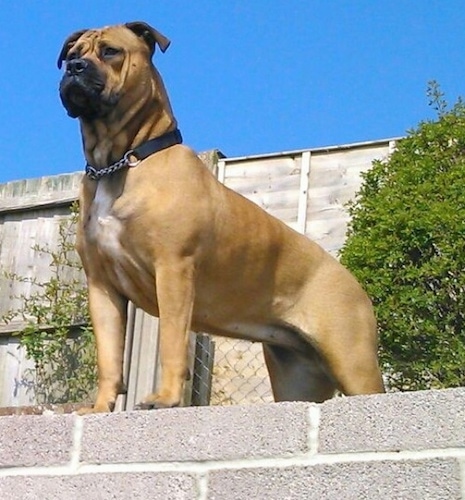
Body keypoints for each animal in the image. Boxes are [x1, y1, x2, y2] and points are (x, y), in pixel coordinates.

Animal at [58, 21, 384, 412]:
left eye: (110, 52)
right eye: (72, 54)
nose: (74, 68)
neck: (121, 161)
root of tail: (350, 279)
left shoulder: (173, 270)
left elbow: (171, 342)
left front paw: (165, 398)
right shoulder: (102, 286)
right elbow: (109, 356)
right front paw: (99, 407)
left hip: (354, 361)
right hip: (298, 376)